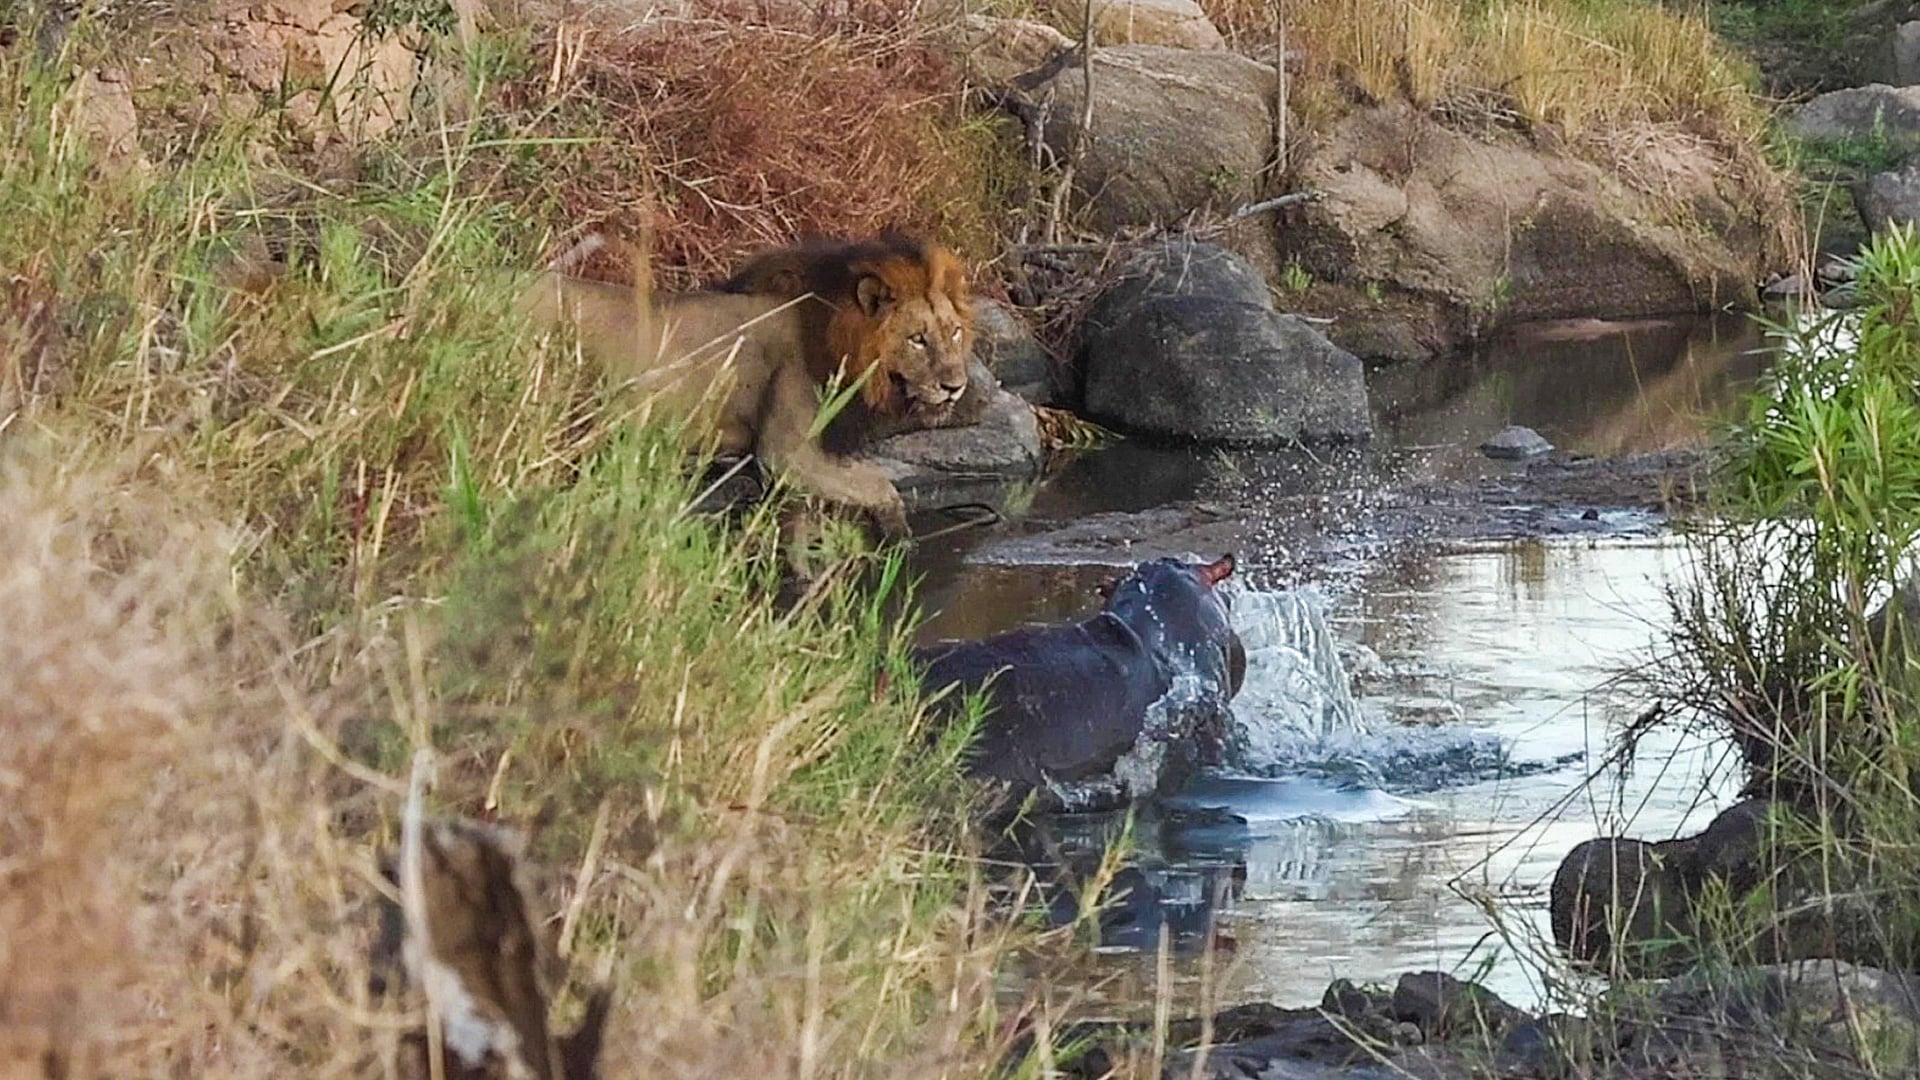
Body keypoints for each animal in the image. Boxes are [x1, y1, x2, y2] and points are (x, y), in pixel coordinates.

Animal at [517, 231, 975, 538]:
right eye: (917, 339)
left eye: (953, 332)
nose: (956, 386)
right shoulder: (787, 452)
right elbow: (880, 483)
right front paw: (899, 536)